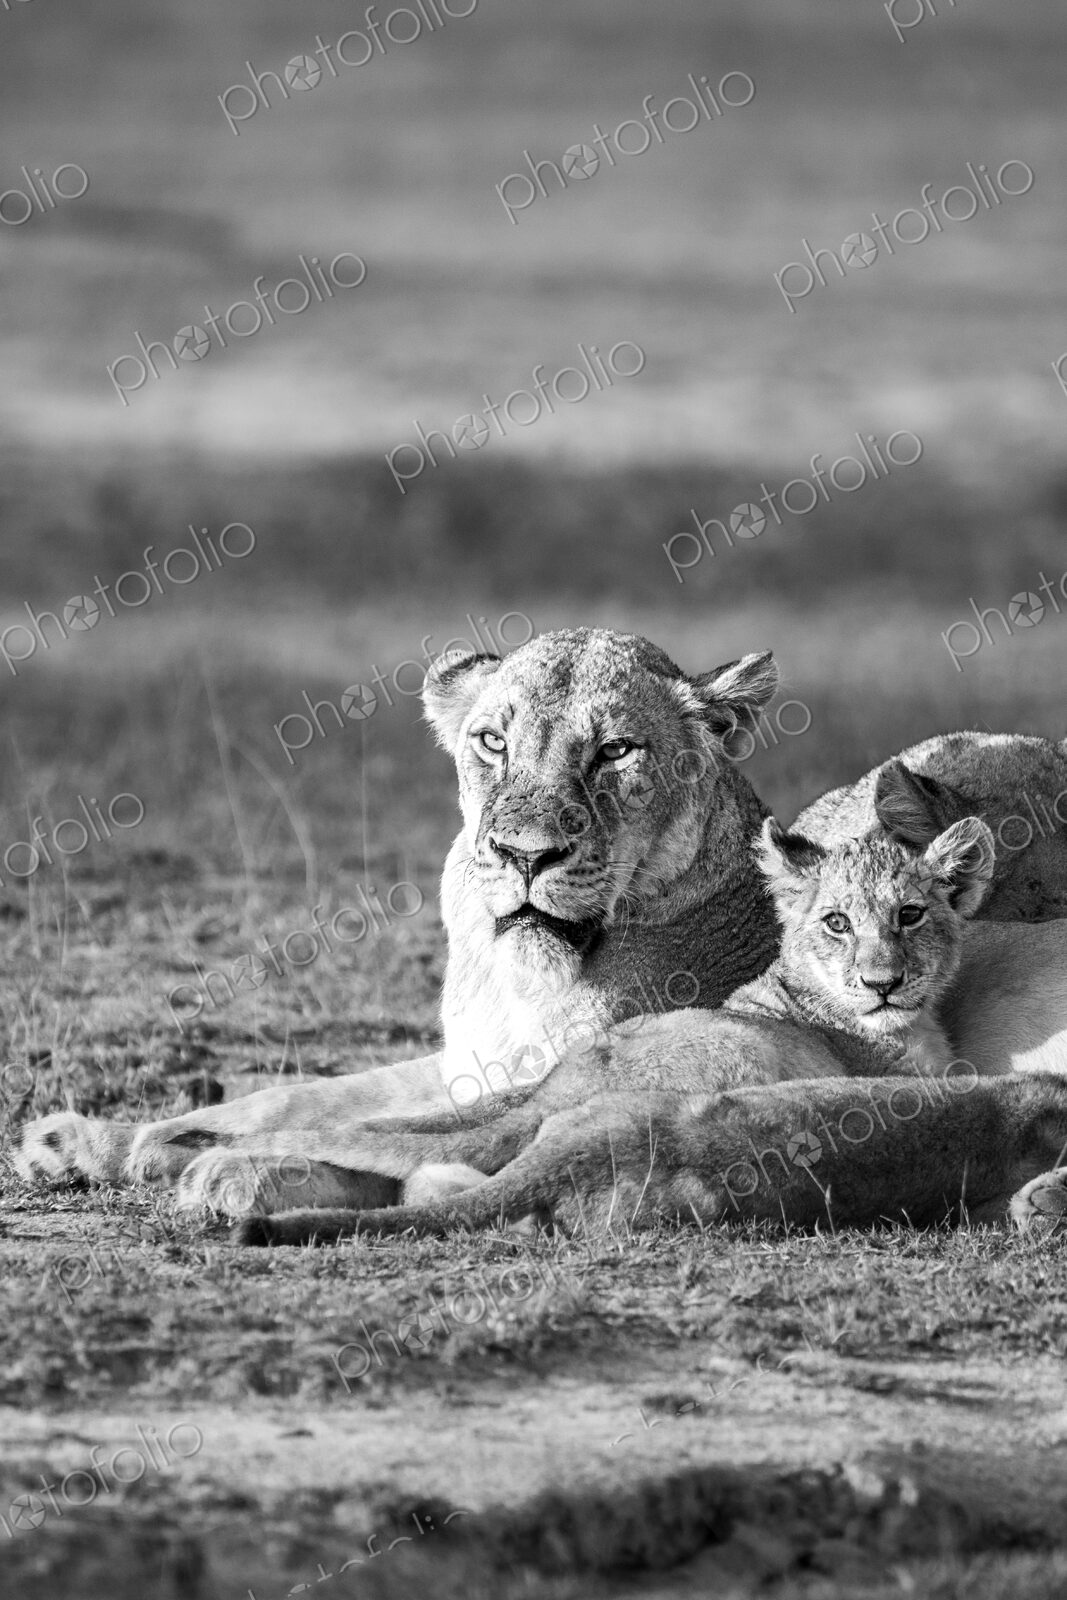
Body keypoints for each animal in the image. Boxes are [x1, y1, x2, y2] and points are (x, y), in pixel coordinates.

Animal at [14, 628, 1067, 1221]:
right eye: (492, 741)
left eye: (615, 752)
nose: (525, 854)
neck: (521, 977)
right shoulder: (470, 1063)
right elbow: (307, 1097)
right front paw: (99, 1142)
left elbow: (399, 1135)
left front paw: (241, 1174)